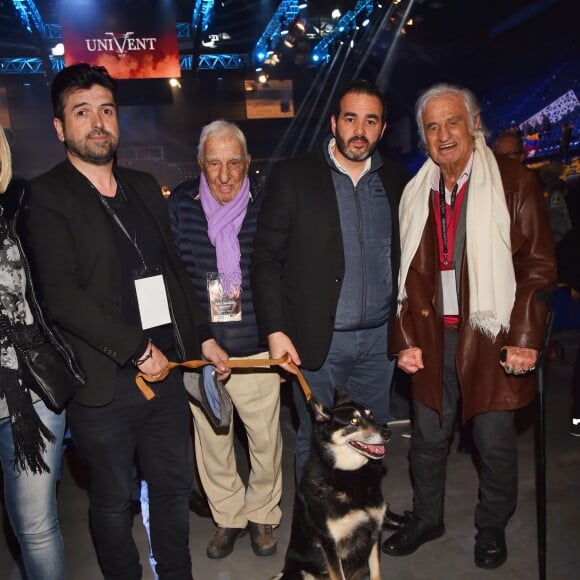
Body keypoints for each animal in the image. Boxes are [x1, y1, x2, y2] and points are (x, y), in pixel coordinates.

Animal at [274, 386, 390, 580]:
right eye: (353, 421)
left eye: (371, 416)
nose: (388, 433)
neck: (349, 474)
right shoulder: (329, 543)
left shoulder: (375, 531)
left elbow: (376, 572)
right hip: (301, 572)